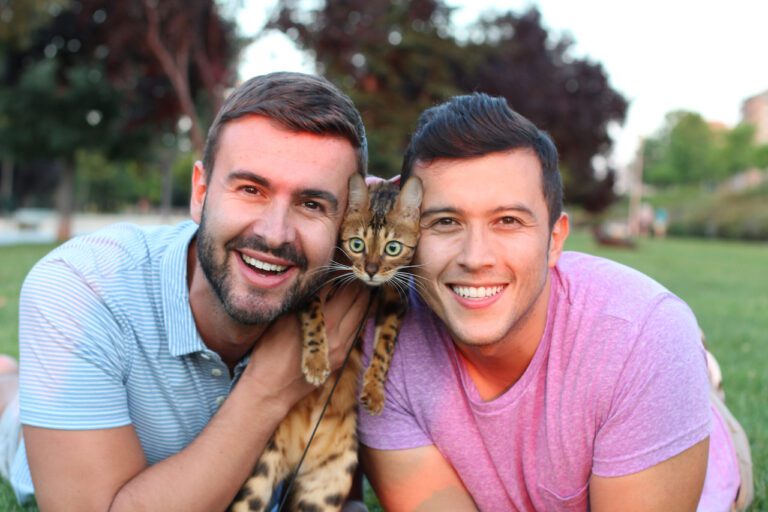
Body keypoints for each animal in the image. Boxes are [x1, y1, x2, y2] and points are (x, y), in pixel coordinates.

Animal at [231, 174, 424, 510]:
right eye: (357, 244)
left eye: (393, 247)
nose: (371, 270)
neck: (368, 286)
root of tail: (299, 454)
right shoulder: (311, 284)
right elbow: (315, 317)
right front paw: (317, 361)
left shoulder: (394, 298)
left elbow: (386, 346)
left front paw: (374, 391)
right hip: (259, 477)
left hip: (326, 488)